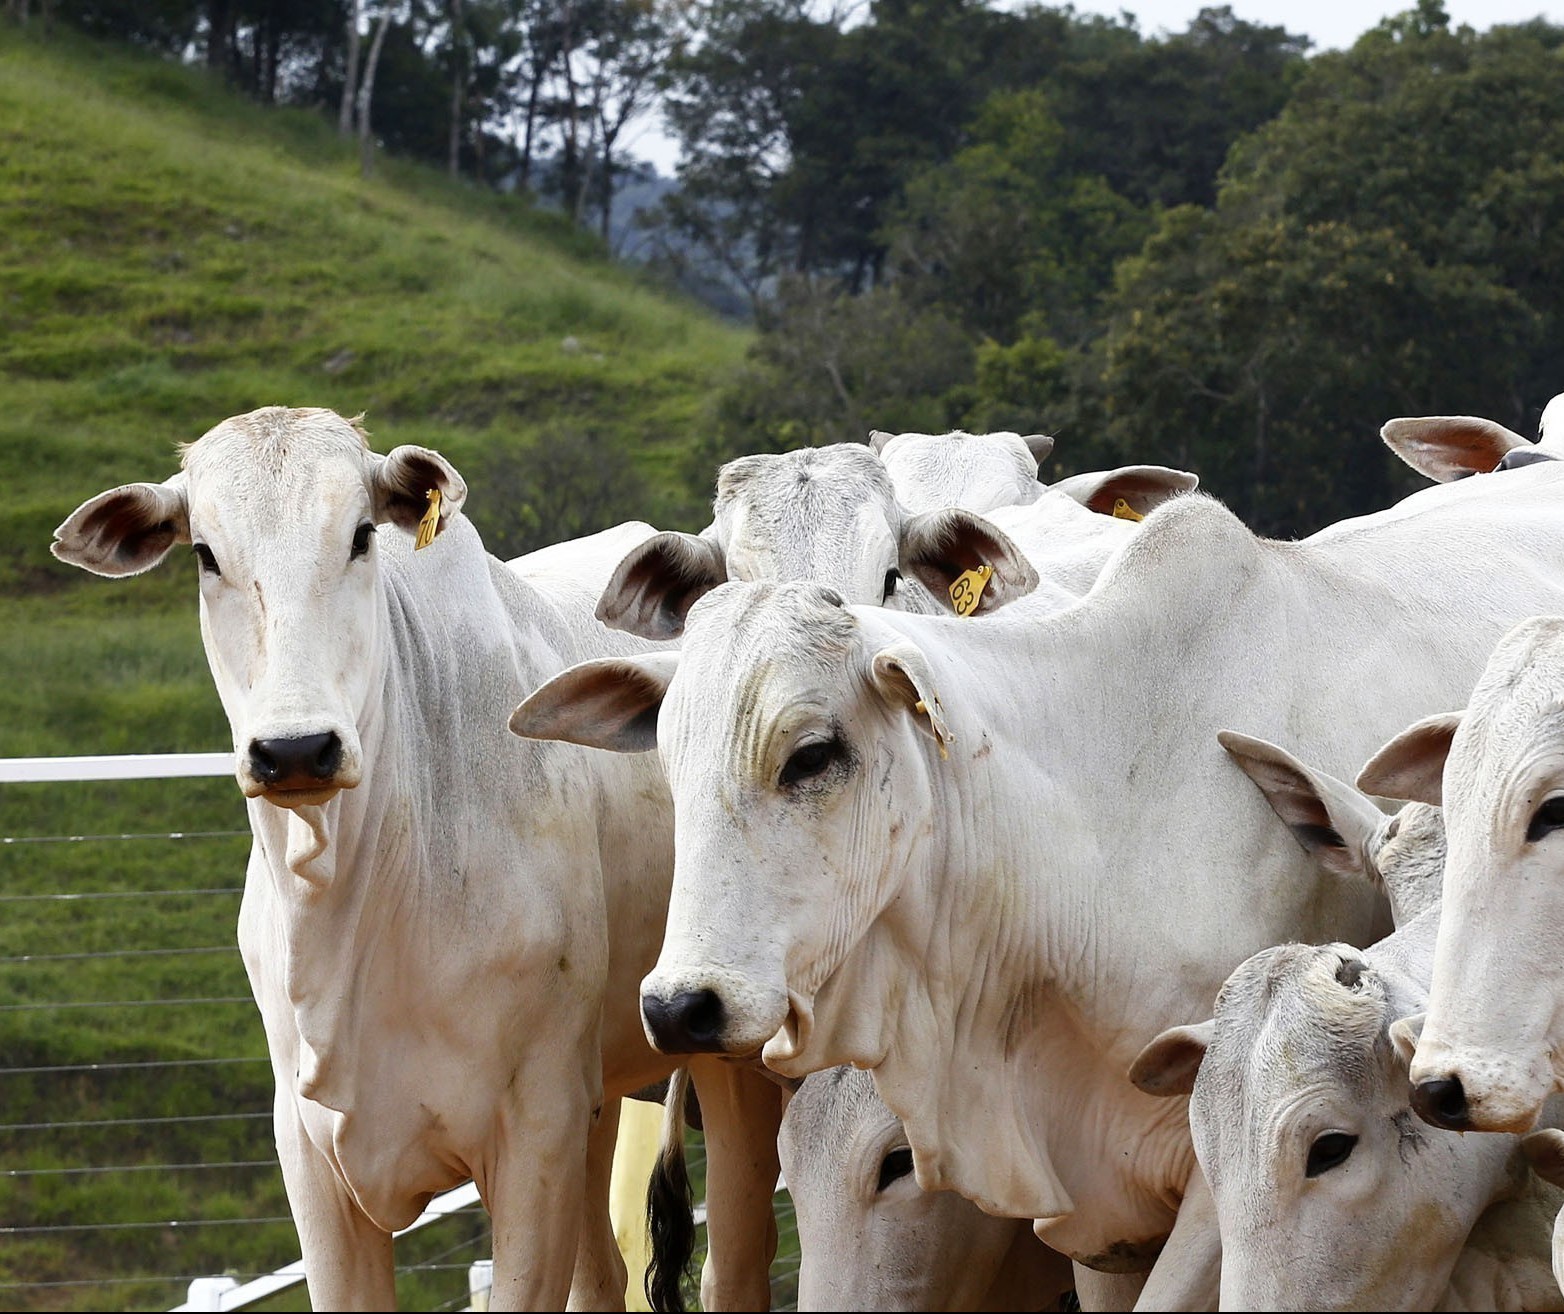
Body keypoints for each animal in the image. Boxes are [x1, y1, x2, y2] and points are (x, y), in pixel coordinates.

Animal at [48, 406, 782, 1307]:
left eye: (361, 534)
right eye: (205, 553)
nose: (296, 750)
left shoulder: (532, 1140)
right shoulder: (314, 1162)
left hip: (725, 1068)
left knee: (736, 1259)